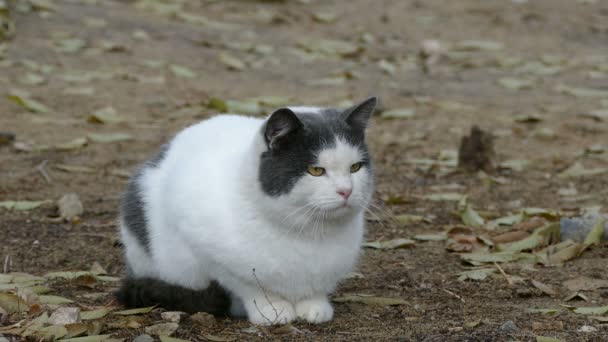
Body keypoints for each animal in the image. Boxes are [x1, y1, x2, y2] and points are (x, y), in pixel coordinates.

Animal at [116, 97, 378, 326]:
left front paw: (314, 305)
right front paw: (271, 310)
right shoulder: (203, 244)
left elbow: (316, 288)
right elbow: (249, 286)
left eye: (355, 167)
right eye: (316, 170)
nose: (346, 191)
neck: (306, 232)